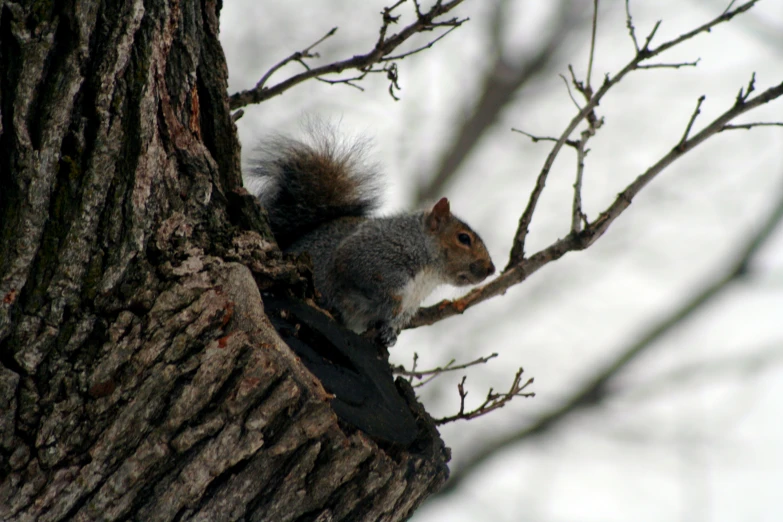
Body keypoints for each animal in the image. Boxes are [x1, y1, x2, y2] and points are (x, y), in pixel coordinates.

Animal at [250, 130, 496, 346]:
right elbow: (373, 284)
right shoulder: (369, 256)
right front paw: (389, 307)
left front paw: (390, 333)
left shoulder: (411, 303)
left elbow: (394, 320)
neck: (428, 274)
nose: (491, 269)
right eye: (463, 238)